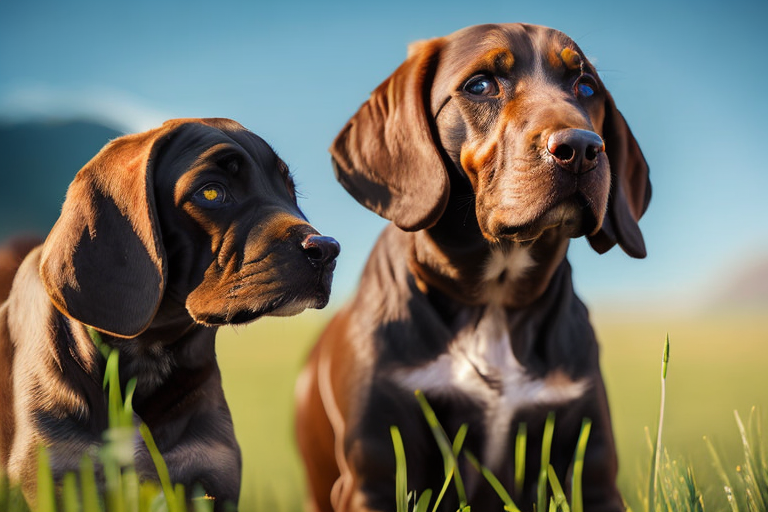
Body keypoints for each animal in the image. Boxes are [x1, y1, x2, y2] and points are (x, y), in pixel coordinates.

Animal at [0, 118, 340, 510]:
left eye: (290, 191)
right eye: (212, 193)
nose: (328, 250)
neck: (148, 353)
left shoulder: (209, 476)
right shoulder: (59, 475)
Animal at [296, 24, 652, 512]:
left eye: (585, 87)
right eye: (480, 85)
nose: (581, 147)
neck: (494, 301)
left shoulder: (591, 468)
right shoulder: (376, 472)